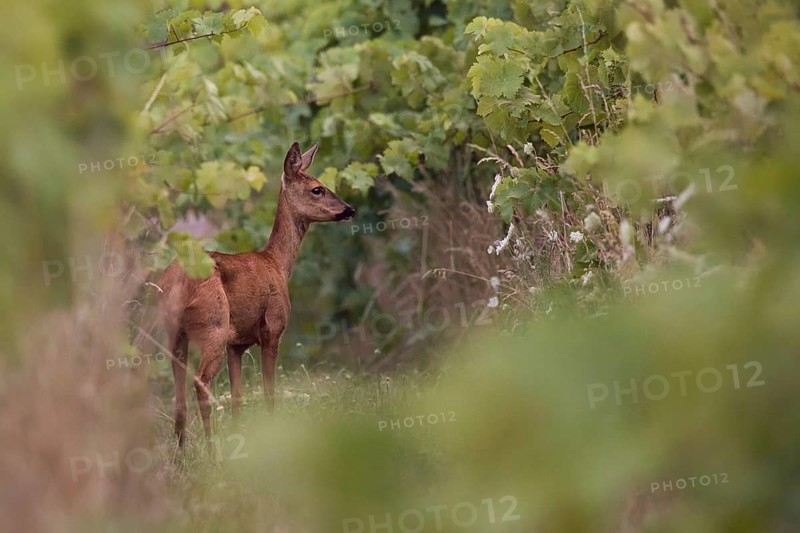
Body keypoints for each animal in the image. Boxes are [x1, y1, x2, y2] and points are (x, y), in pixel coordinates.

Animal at [158, 142, 355, 448]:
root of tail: (178, 279)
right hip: (214, 325)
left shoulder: (236, 344)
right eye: (317, 189)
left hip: (176, 331)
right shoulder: (272, 329)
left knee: (179, 395)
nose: (349, 209)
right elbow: (269, 395)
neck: (277, 263)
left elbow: (238, 400)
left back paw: (180, 454)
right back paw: (212, 451)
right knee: (201, 382)